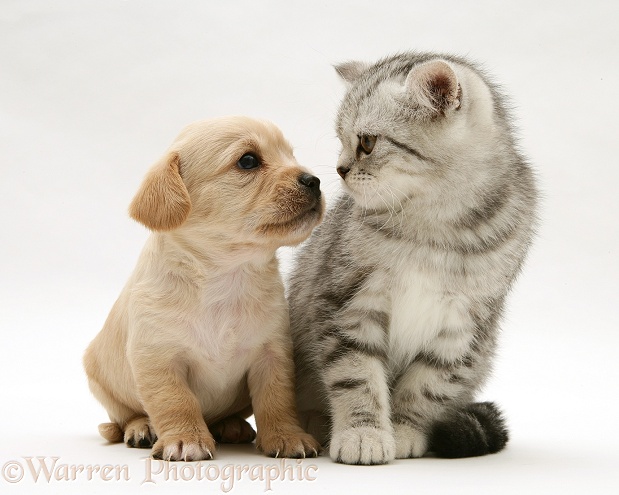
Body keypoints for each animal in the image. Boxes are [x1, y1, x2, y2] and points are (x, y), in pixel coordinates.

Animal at [85, 116, 326, 462]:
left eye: (291, 155)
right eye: (248, 161)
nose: (315, 181)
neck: (226, 276)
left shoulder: (273, 353)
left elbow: (277, 399)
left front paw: (286, 436)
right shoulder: (157, 359)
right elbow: (175, 402)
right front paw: (185, 439)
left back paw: (231, 425)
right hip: (103, 384)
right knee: (126, 415)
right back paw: (141, 428)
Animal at [290, 53, 536, 464]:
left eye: (367, 142)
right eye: (341, 141)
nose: (340, 170)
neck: (433, 225)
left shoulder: (463, 324)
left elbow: (428, 384)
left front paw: (404, 429)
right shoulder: (348, 303)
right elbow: (356, 375)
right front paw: (363, 432)